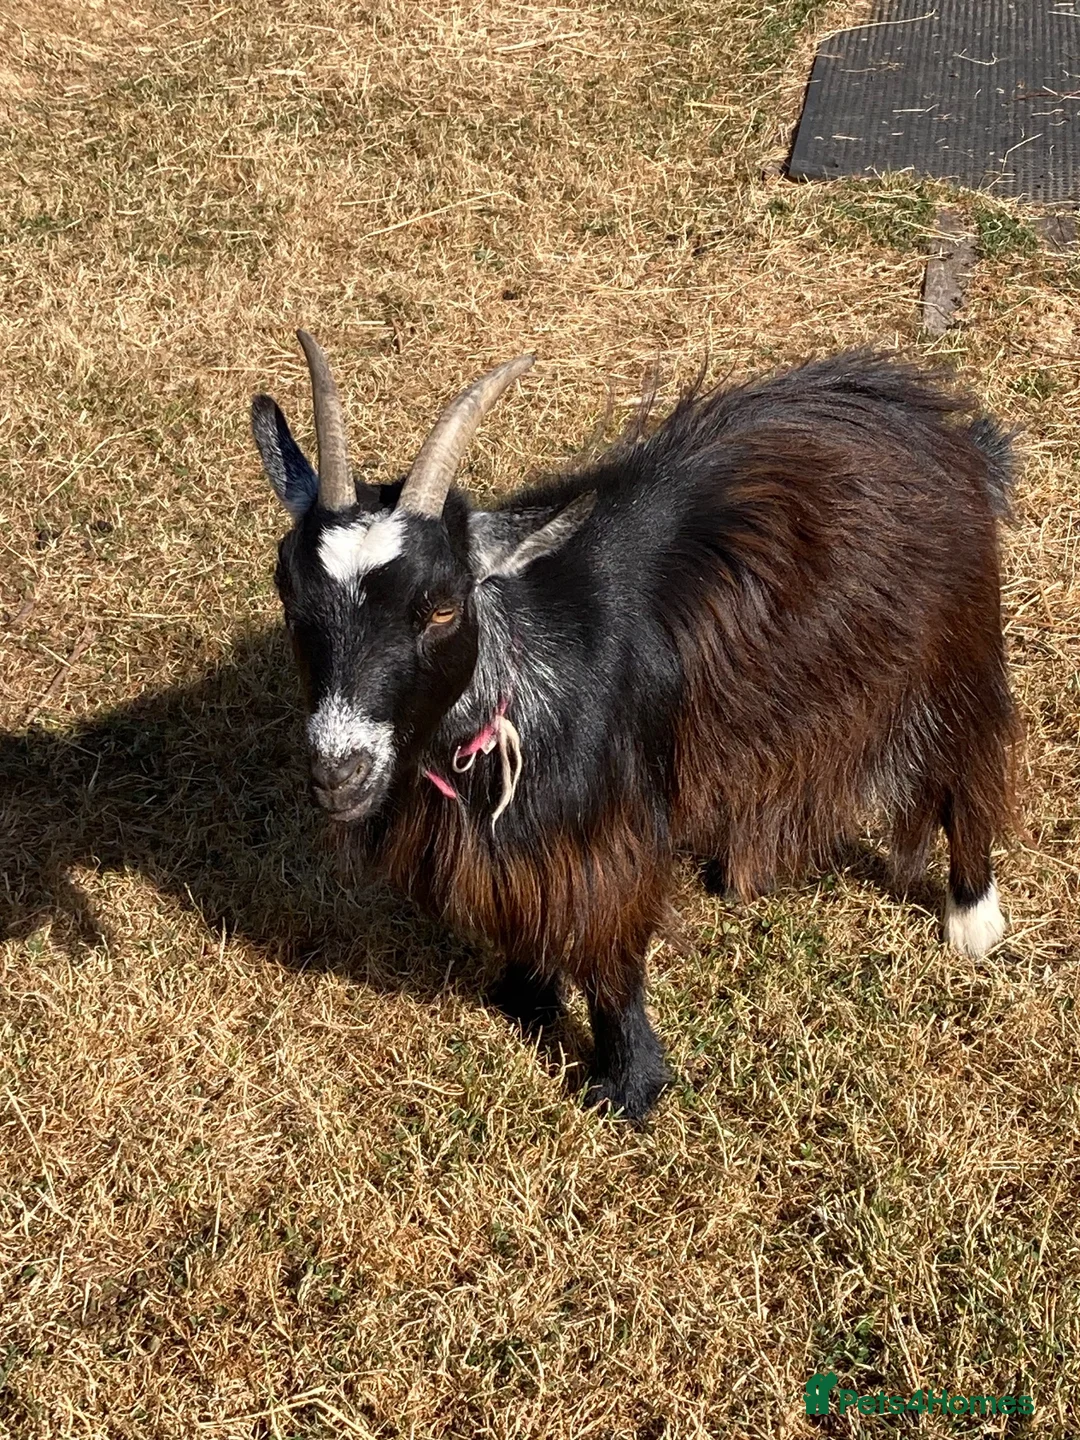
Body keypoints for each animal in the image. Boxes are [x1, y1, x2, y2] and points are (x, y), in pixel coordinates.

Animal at [251, 335, 1016, 1122]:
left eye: (440, 605)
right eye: (288, 590)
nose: (338, 771)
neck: (520, 672)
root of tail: (938, 425)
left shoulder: (605, 836)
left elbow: (611, 952)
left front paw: (628, 1084)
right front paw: (523, 995)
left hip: (954, 654)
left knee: (969, 769)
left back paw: (972, 919)